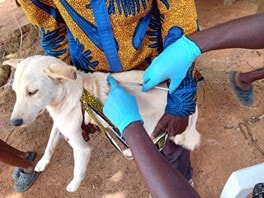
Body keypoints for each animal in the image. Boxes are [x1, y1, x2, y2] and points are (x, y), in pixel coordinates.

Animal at [3, 55, 200, 192]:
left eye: (32, 92)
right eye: (15, 91)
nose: (14, 122)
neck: (68, 97)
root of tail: (191, 106)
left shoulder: (80, 147)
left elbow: (78, 169)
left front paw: (73, 185)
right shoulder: (59, 124)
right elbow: (50, 144)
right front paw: (42, 163)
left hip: (151, 125)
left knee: (151, 144)